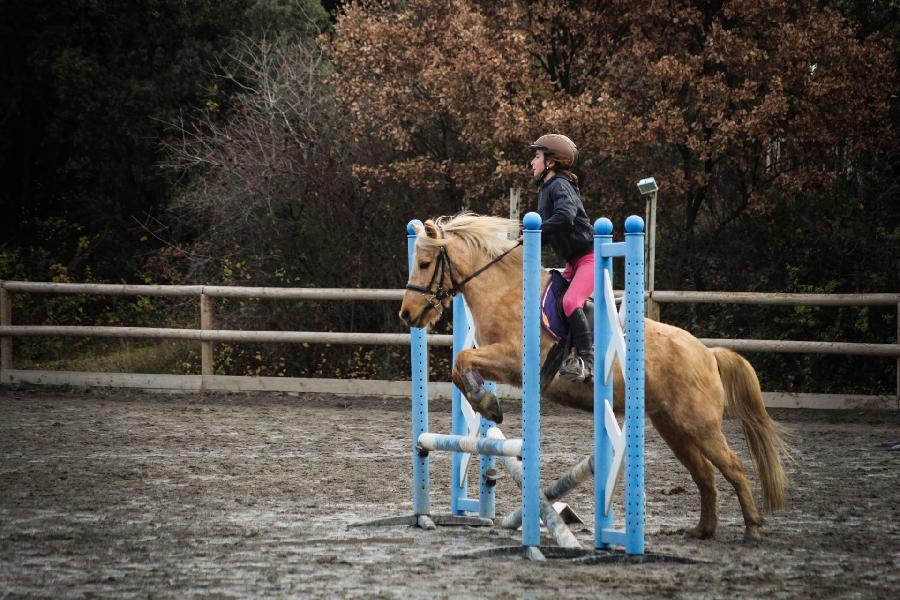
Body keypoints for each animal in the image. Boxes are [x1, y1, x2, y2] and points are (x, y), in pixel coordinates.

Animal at [398, 212, 792, 544]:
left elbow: (462, 360)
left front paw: (488, 404)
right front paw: (488, 405)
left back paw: (752, 530)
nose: (407, 314)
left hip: (700, 425)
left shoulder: (513, 359)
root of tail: (707, 353)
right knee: (704, 474)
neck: (505, 290)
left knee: (733, 467)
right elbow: (460, 368)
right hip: (674, 427)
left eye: (424, 263)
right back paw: (702, 530)